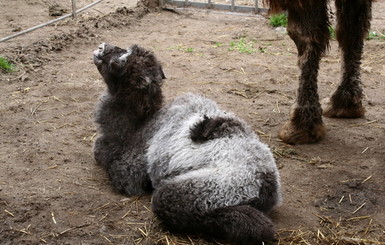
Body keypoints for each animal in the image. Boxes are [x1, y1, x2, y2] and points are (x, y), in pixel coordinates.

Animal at [91, 43, 280, 244]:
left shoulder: (129, 170)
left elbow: (110, 163)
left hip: (212, 187)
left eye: (120, 62)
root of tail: (267, 183)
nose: (101, 47)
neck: (137, 126)